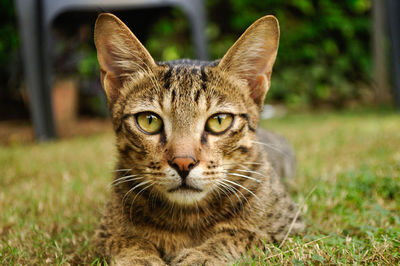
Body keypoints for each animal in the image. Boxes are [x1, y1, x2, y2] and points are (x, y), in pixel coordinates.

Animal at [94, 13, 304, 266]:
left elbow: (240, 235)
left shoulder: (290, 227)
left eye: (219, 121)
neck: (186, 218)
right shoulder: (105, 232)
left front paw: (202, 254)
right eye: (149, 121)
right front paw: (141, 258)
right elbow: (127, 241)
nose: (183, 163)